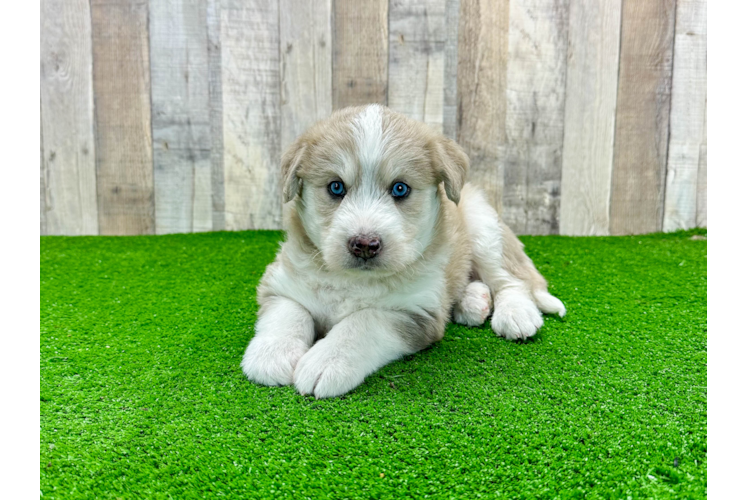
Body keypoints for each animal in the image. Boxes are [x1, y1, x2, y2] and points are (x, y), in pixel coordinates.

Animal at [243, 104, 564, 398]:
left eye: (400, 189)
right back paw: (473, 301)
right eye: (335, 187)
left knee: (512, 279)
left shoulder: (416, 312)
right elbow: (289, 312)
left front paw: (327, 360)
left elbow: (363, 322)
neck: (354, 282)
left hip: (484, 229)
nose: (365, 244)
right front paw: (272, 354)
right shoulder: (281, 282)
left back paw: (516, 313)